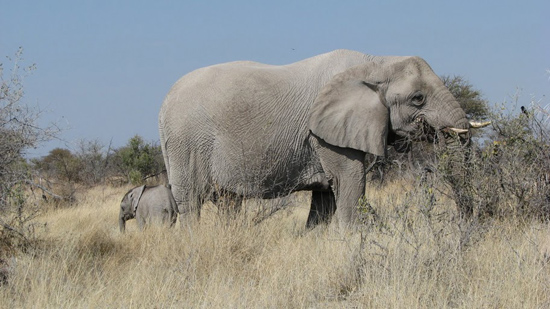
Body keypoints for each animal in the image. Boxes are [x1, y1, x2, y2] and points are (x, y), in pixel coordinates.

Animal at [161, 49, 474, 229]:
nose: (464, 225)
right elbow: (349, 182)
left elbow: (325, 199)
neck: (377, 63)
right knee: (191, 202)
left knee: (229, 203)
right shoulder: (326, 136)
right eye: (418, 98)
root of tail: (164, 103)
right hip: (187, 142)